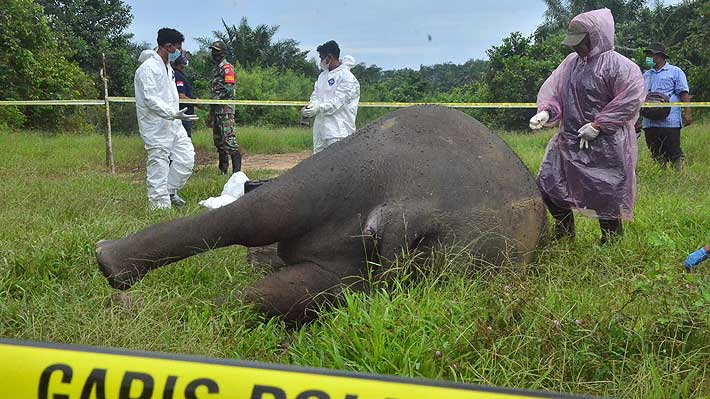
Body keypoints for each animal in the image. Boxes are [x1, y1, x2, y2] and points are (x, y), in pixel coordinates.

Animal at [97, 106, 548, 322]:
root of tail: (418, 207)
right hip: (362, 167)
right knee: (266, 218)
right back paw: (115, 276)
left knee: (269, 257)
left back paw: (120, 288)